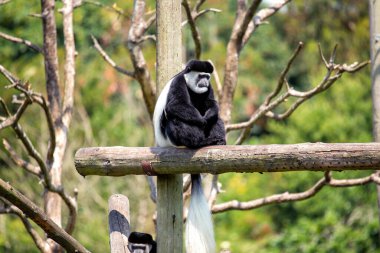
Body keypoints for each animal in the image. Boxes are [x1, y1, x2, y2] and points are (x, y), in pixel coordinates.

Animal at [154, 59, 227, 253]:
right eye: (201, 75)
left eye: (207, 77)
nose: (204, 82)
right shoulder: (178, 83)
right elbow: (176, 105)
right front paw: (202, 120)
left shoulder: (208, 90)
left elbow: (211, 103)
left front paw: (208, 116)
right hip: (172, 137)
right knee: (175, 119)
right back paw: (199, 142)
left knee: (217, 118)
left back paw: (217, 141)